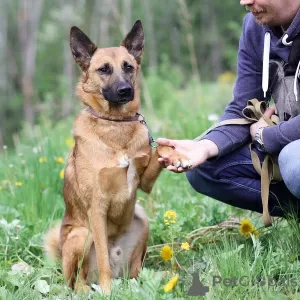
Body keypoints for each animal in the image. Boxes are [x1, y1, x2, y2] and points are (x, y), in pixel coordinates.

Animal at [43, 19, 191, 294]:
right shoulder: (97, 208)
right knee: (76, 281)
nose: (125, 90)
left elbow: (159, 148)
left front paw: (177, 156)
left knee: (135, 270)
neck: (115, 125)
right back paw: (92, 290)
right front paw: (107, 291)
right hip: (81, 235)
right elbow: (102, 259)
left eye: (128, 67)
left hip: (141, 218)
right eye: (103, 69)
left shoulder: (144, 183)